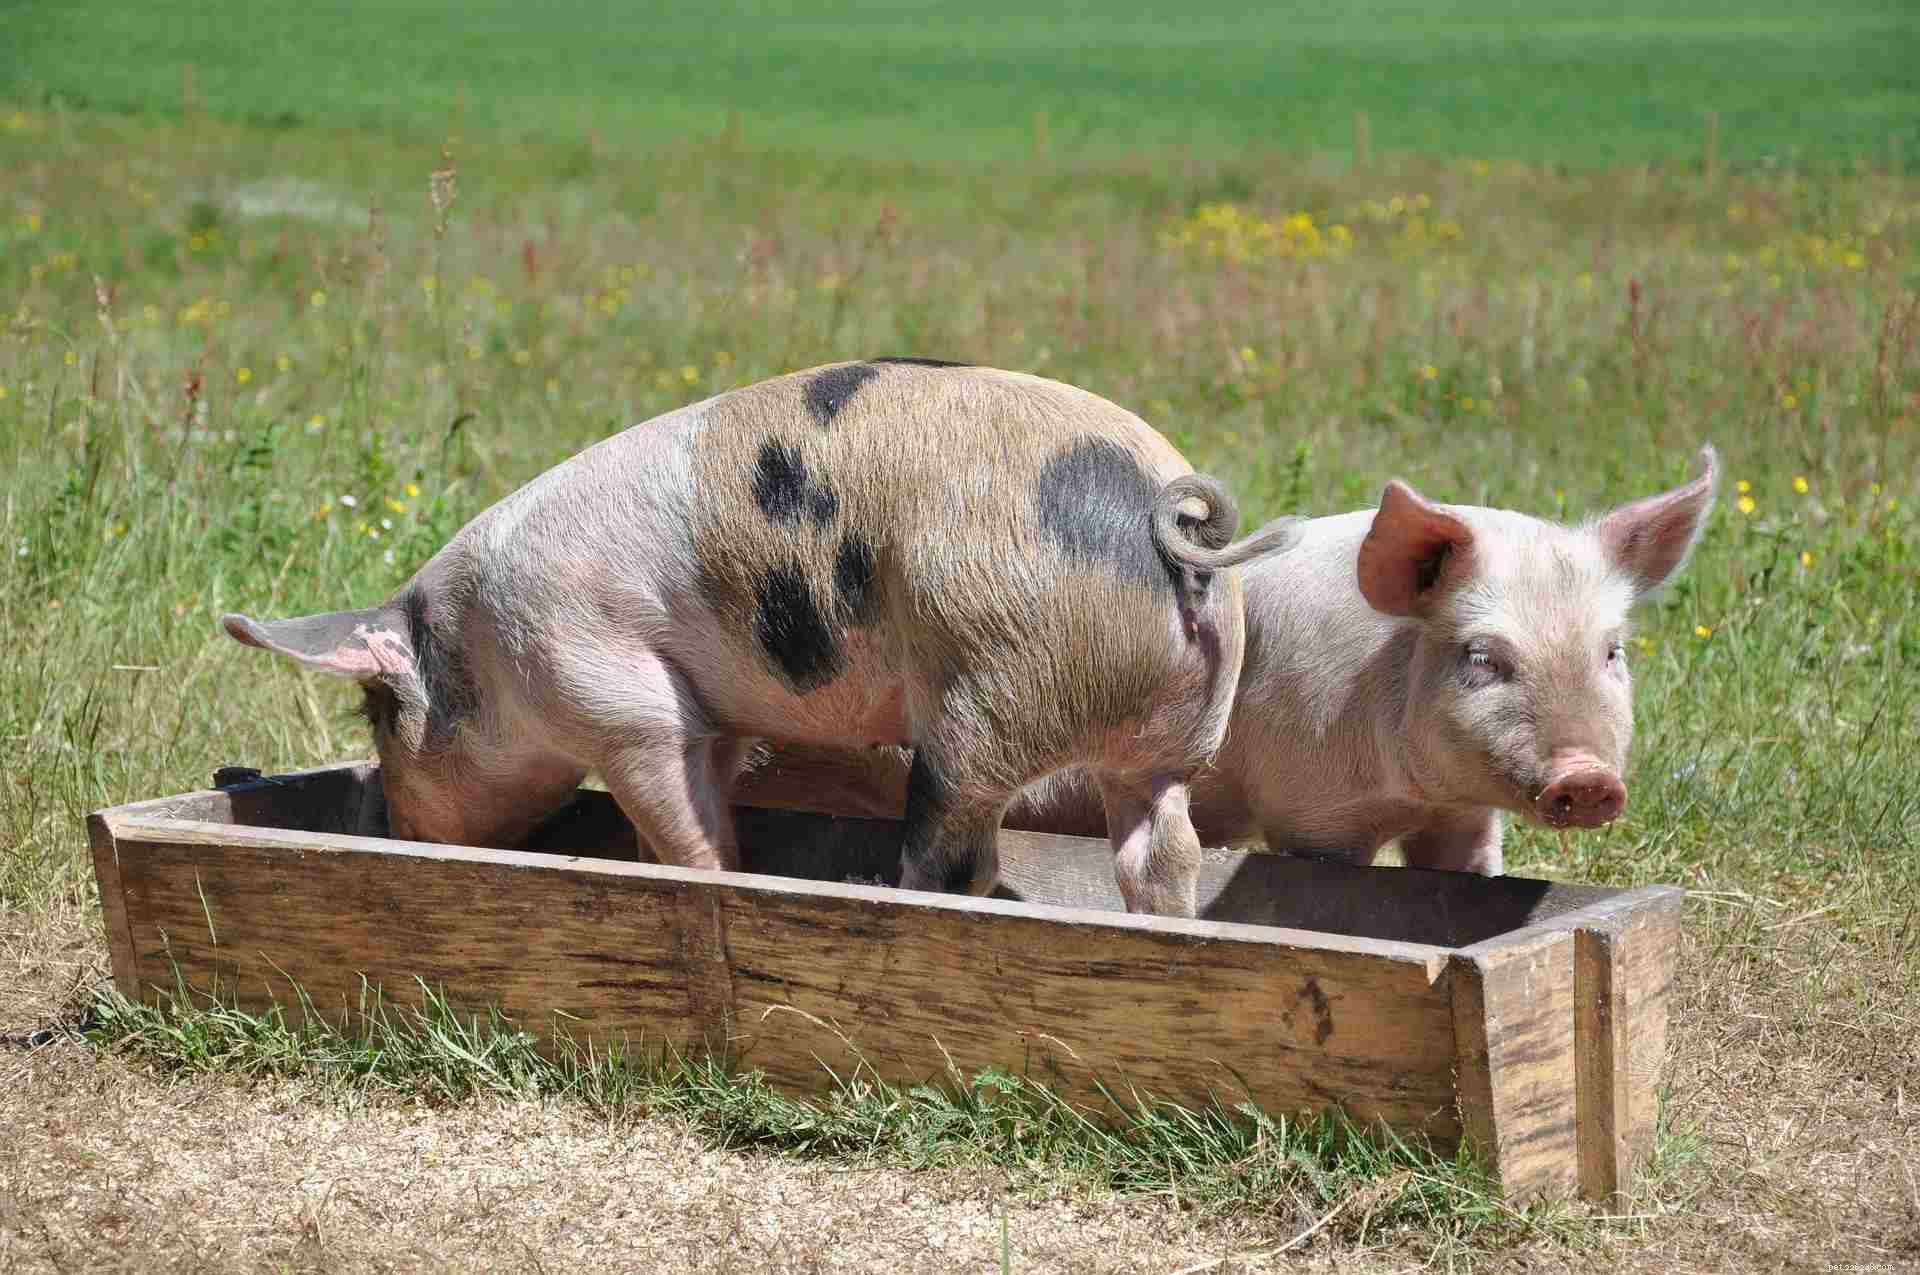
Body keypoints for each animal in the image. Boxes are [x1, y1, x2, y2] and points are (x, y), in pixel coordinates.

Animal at [222, 360, 1300, 915]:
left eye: (379, 714)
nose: (398, 825)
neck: (484, 646)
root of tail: (1169, 519)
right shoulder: (718, 713)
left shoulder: (618, 697)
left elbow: (683, 823)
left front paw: (707, 881)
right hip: (1170, 741)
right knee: (1162, 851)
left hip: (986, 693)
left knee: (956, 853)